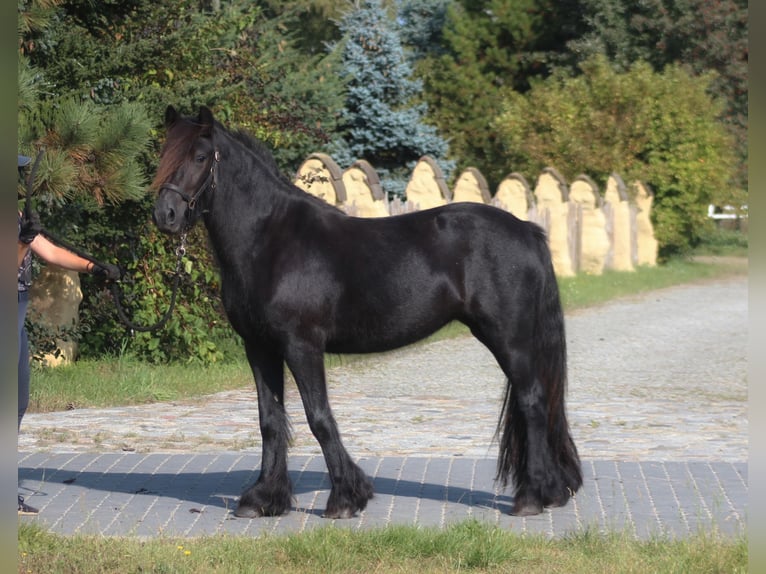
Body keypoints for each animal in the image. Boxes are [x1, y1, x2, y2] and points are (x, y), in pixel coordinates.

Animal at [152, 105, 582, 518]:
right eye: (163, 153)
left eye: (200, 156)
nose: (165, 215)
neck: (270, 240)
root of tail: (527, 230)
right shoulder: (259, 347)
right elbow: (270, 420)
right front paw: (263, 500)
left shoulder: (301, 345)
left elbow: (319, 417)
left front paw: (346, 498)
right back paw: (551, 491)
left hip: (509, 339)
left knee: (532, 402)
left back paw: (532, 497)